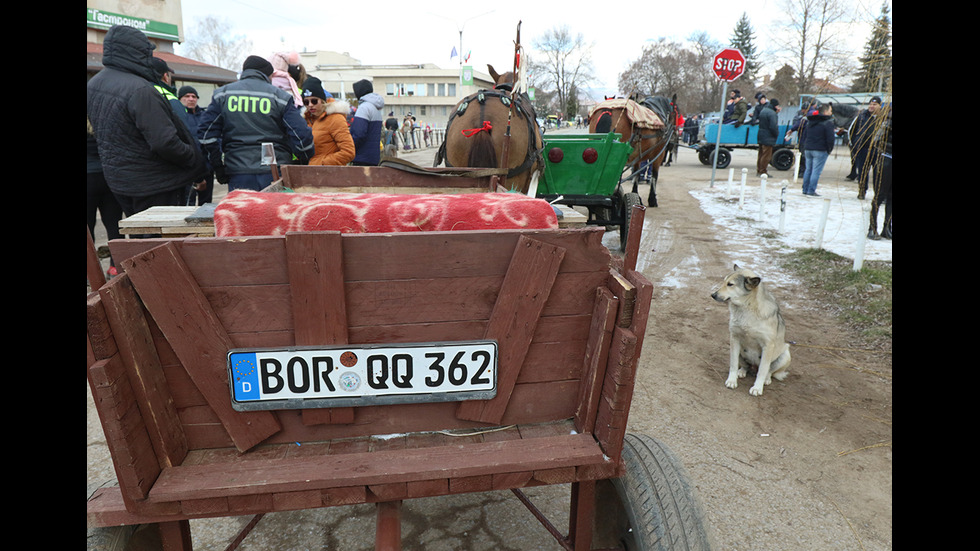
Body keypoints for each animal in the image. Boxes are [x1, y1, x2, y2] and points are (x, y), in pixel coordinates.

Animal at [708, 264, 792, 396]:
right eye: (724, 281)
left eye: (730, 284)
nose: (713, 295)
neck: (747, 308)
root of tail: (754, 367)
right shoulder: (734, 338)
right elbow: (733, 365)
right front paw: (732, 380)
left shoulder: (768, 346)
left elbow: (763, 370)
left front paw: (757, 387)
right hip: (738, 351)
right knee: (745, 366)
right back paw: (742, 371)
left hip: (785, 354)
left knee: (769, 371)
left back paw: (766, 379)